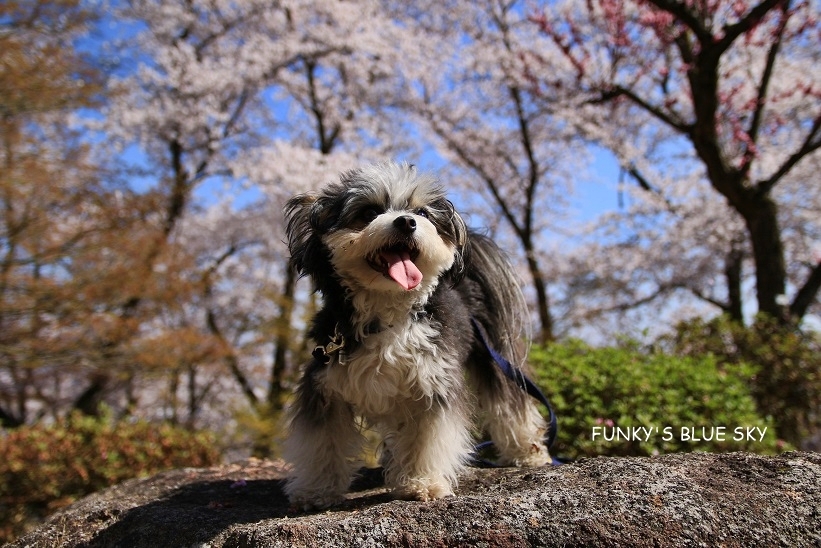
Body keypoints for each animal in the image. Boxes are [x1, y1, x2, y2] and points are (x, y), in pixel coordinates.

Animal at [284, 159, 552, 510]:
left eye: (422, 212)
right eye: (369, 212)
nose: (407, 222)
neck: (388, 315)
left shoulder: (432, 382)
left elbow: (426, 439)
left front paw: (422, 484)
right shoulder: (325, 385)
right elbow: (322, 442)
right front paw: (316, 491)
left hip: (496, 356)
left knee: (511, 403)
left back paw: (528, 452)